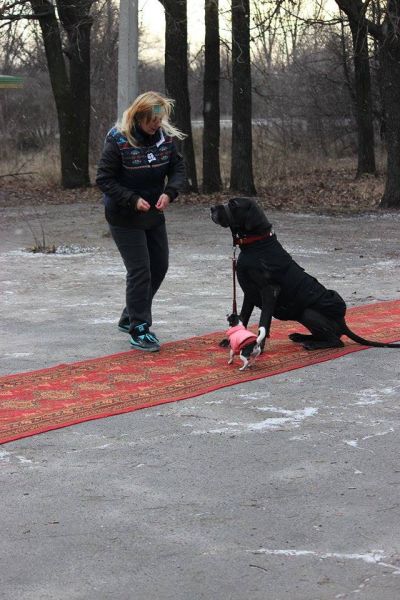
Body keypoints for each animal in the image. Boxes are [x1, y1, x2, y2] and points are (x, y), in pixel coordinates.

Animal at [211, 197, 398, 352]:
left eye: (233, 204)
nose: (212, 208)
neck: (257, 243)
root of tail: (342, 322)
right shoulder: (249, 292)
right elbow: (243, 316)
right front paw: (232, 340)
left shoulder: (269, 291)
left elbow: (264, 321)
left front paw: (257, 348)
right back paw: (301, 337)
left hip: (308, 312)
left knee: (337, 341)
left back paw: (312, 344)